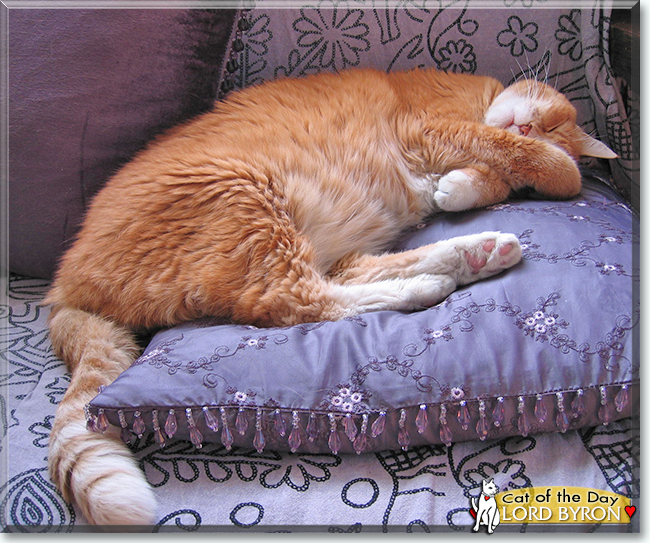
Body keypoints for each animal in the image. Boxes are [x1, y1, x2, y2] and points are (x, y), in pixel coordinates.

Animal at [44, 68, 612, 528]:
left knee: (342, 280)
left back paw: (475, 254)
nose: (528, 127)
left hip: (306, 236)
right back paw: (434, 282)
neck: (480, 102)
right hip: (251, 204)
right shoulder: (437, 126)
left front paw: (464, 186)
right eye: (549, 122)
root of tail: (65, 285)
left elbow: (492, 176)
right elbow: (538, 163)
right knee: (299, 301)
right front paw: (549, 166)